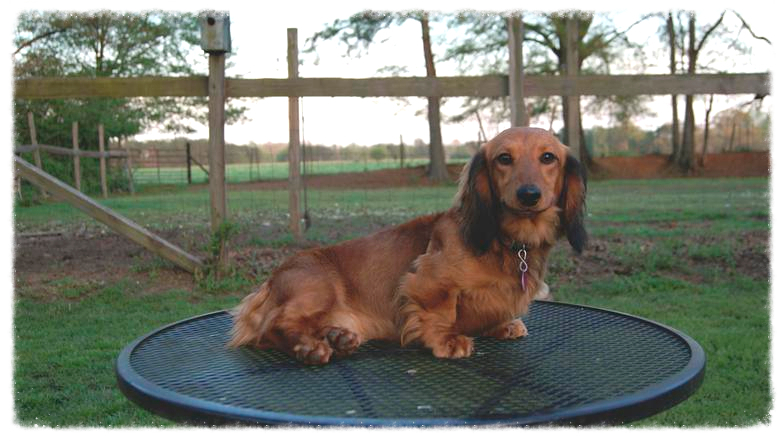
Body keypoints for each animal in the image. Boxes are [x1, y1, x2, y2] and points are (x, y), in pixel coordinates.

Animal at [230, 125, 584, 362]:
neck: (509, 242)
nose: (529, 195)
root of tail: (269, 282)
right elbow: (441, 310)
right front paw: (447, 341)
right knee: (270, 328)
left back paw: (338, 337)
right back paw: (309, 347)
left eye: (548, 157)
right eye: (504, 158)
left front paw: (503, 326)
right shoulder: (425, 280)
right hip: (317, 288)